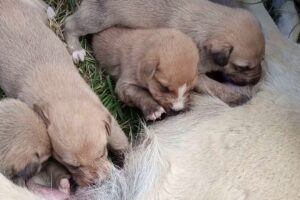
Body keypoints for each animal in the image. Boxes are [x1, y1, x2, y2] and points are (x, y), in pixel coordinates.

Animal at [0, 0, 127, 187]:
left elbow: (119, 139)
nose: (98, 182)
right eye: (72, 166)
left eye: (102, 153)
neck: (63, 96)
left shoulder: (104, 111)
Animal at [63, 0, 264, 106]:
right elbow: (214, 86)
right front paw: (236, 97)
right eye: (242, 67)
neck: (208, 25)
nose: (258, 80)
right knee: (71, 24)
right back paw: (76, 50)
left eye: (262, 59)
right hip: (98, 18)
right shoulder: (197, 74)